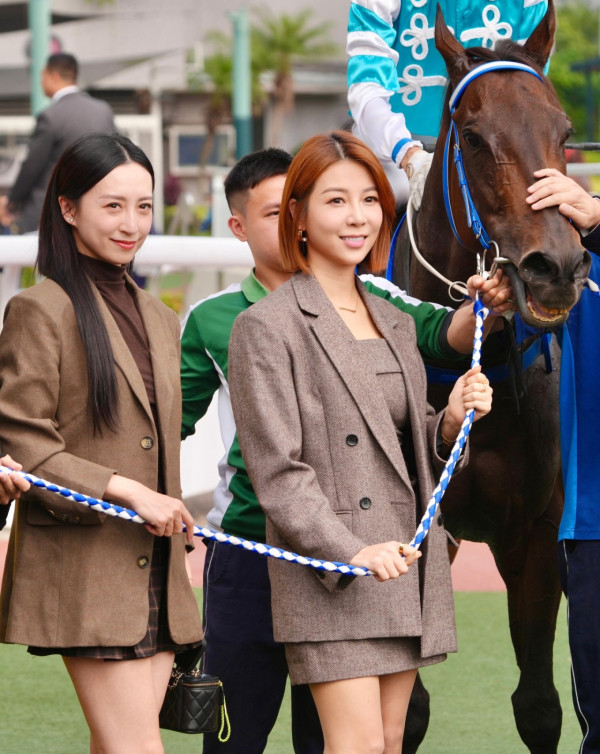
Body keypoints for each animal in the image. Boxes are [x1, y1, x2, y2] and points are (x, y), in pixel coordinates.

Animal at [393, 3, 591, 753]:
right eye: (475, 138)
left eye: (564, 131)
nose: (556, 267)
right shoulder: (421, 531)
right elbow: (406, 708)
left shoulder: (535, 536)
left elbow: (538, 704)